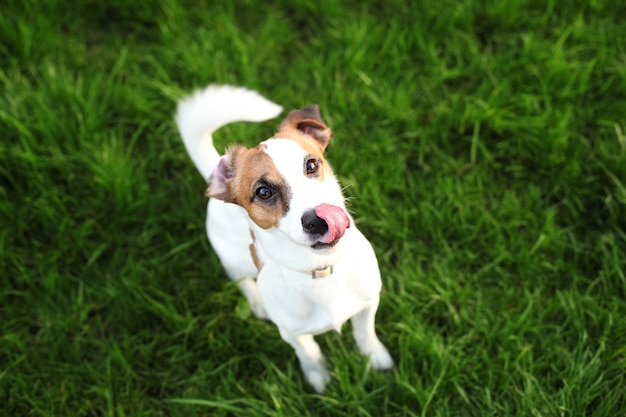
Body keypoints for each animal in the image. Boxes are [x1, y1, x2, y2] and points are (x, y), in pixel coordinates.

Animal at [174, 85, 390, 394]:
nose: (317, 220)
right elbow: (309, 353)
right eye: (263, 192)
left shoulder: (369, 302)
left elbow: (365, 333)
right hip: (234, 260)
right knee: (240, 278)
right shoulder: (292, 333)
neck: (320, 271)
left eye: (311, 165)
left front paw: (375, 357)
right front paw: (318, 378)